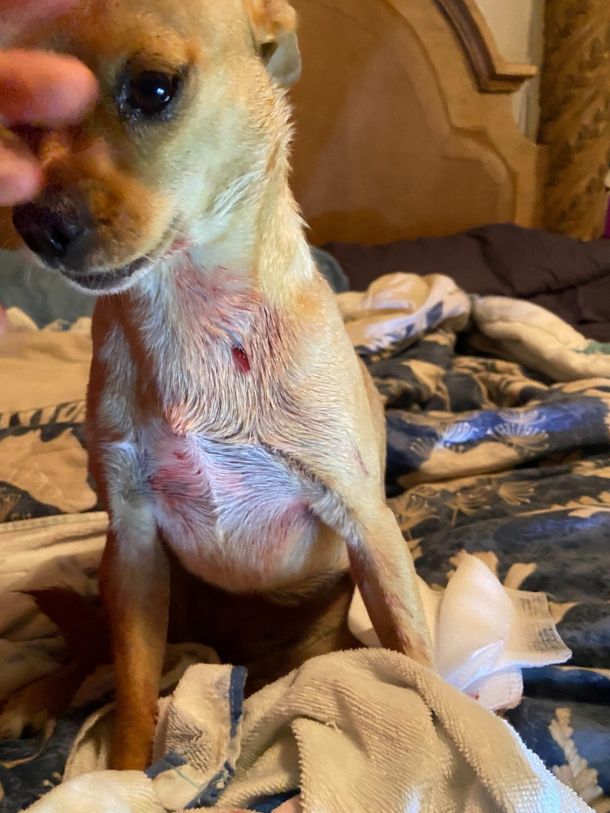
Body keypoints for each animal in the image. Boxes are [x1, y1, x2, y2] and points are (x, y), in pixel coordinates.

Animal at [0, 0, 432, 770]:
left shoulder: (367, 524)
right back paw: (39, 692)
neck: (190, 309)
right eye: (22, 117)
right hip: (125, 581)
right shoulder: (134, 543)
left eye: (153, 89)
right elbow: (134, 696)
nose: (34, 225)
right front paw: (126, 779)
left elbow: (414, 653)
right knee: (98, 653)